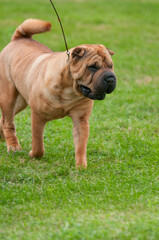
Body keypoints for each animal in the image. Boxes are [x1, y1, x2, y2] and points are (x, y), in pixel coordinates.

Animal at [0, 19, 116, 169]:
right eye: (92, 67)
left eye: (111, 66)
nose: (110, 79)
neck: (69, 89)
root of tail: (18, 38)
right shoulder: (37, 117)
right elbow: (38, 145)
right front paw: (33, 154)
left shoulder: (81, 120)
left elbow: (81, 146)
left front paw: (81, 166)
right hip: (8, 96)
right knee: (8, 122)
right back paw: (13, 146)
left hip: (21, 102)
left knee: (4, 119)